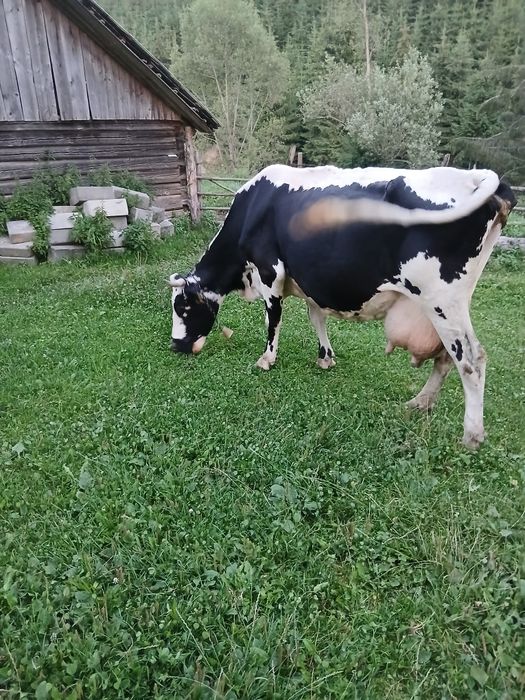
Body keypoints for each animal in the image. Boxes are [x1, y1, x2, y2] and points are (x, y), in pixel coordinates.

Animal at [168, 164, 516, 449]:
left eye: (183, 308)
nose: (175, 345)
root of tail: (475, 177)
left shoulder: (271, 272)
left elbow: (273, 318)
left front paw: (267, 359)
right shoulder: (310, 281)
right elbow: (316, 317)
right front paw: (326, 357)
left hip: (442, 299)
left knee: (471, 360)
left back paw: (471, 435)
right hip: (445, 304)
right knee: (446, 357)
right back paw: (420, 402)